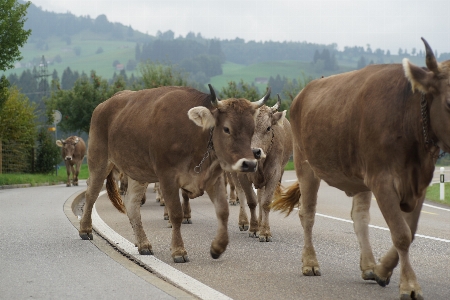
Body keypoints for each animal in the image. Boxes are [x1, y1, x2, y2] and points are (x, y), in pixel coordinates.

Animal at [78, 84, 268, 262]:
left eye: (252, 129)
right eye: (227, 129)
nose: (249, 164)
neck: (193, 135)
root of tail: (105, 104)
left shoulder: (213, 178)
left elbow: (223, 211)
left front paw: (217, 247)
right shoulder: (167, 177)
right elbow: (176, 214)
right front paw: (179, 251)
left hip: (137, 172)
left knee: (131, 204)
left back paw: (143, 244)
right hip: (99, 160)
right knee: (91, 193)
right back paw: (85, 229)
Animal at [270, 38, 446, 300]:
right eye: (449, 102)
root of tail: (304, 92)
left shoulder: (419, 183)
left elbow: (410, 231)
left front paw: (382, 271)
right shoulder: (382, 181)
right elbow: (401, 234)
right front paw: (410, 286)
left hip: (359, 178)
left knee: (359, 217)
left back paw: (369, 266)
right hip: (305, 165)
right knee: (307, 213)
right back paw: (310, 263)